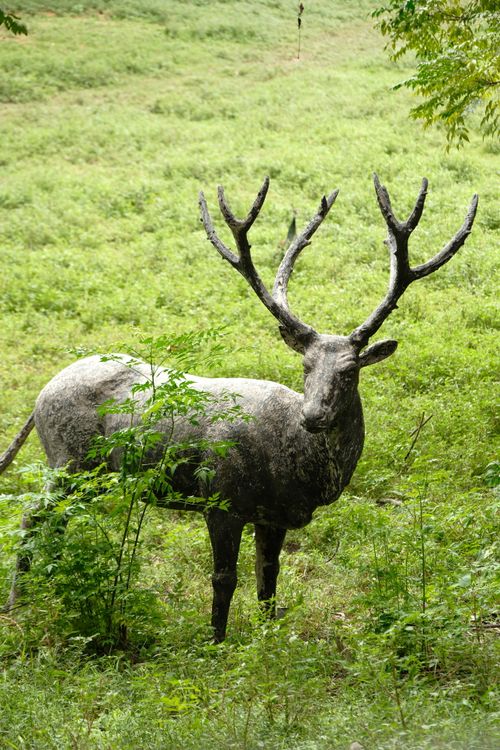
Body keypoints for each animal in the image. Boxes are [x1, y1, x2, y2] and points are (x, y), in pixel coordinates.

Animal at [0, 174, 478, 642]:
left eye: (349, 370)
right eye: (305, 365)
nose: (313, 416)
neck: (298, 471)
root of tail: (42, 393)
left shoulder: (274, 517)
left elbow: (269, 579)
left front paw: (268, 641)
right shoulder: (221, 499)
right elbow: (224, 579)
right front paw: (216, 644)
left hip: (87, 474)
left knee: (56, 521)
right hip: (68, 458)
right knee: (30, 515)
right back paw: (19, 605)